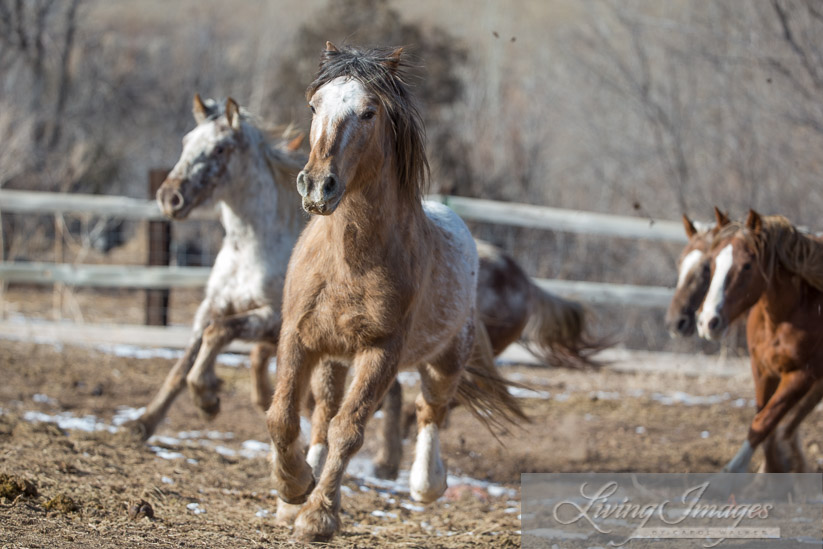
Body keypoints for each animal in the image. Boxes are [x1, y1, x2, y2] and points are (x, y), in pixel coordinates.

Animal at [268, 44, 532, 540]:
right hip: (333, 358)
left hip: (444, 360)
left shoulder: (381, 352)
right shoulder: (298, 336)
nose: (317, 186)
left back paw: (426, 484)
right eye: (314, 106)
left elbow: (349, 430)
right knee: (322, 414)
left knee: (430, 411)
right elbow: (283, 417)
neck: (349, 260)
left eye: (368, 112)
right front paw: (294, 488)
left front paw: (318, 516)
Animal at [700, 210, 823, 470]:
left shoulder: (801, 376)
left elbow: (763, 423)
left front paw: (732, 472)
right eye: (713, 262)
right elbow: (766, 425)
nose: (708, 321)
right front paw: (773, 469)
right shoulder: (762, 369)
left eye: (747, 265)